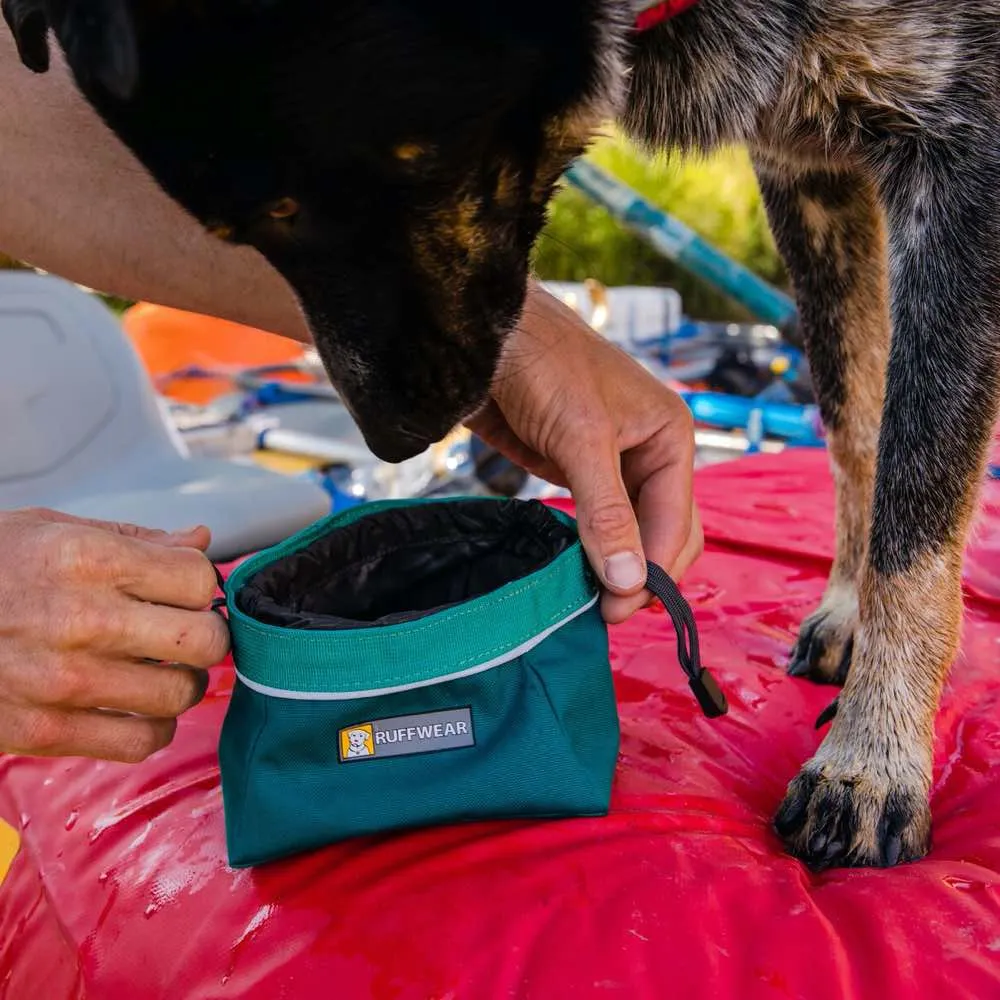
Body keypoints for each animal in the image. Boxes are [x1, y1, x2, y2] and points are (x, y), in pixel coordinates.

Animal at [5, 0, 992, 868]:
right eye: (233, 227)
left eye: (294, 206)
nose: (394, 441)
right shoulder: (804, 165)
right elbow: (858, 424)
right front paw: (851, 612)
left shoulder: (956, 162)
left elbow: (914, 493)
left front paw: (872, 758)